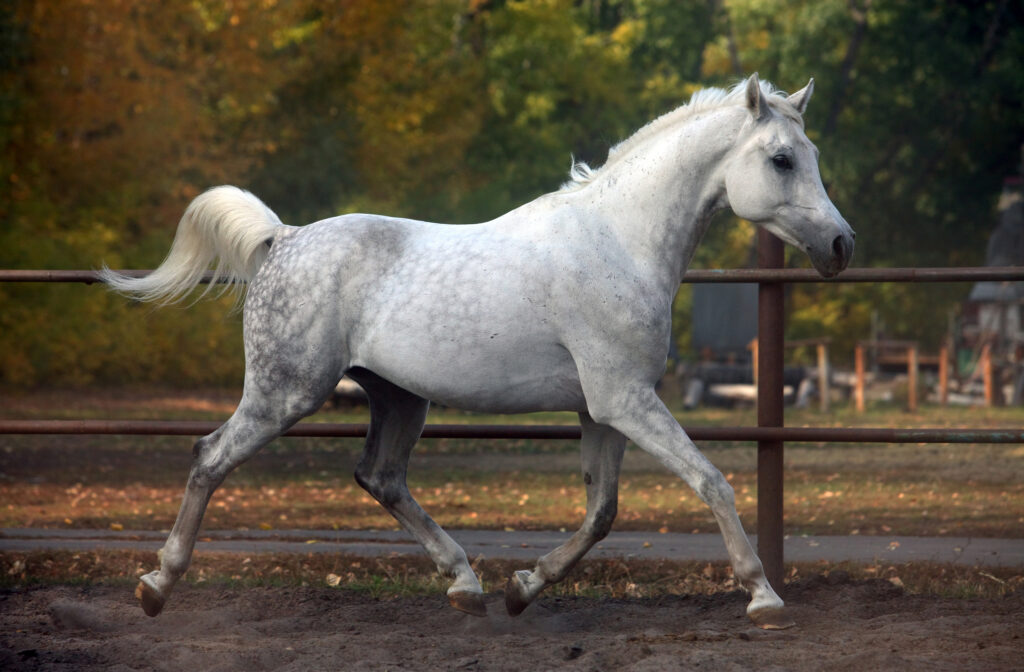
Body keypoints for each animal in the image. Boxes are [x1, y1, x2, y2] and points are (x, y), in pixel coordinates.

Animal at [102, 74, 854, 630]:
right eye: (782, 159)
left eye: (816, 157)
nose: (842, 245)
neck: (619, 242)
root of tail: (282, 238)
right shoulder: (627, 400)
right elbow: (711, 481)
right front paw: (763, 597)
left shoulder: (603, 409)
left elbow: (602, 513)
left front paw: (524, 586)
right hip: (285, 391)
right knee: (211, 457)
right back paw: (157, 585)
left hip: (399, 397)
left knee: (380, 477)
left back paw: (466, 584)